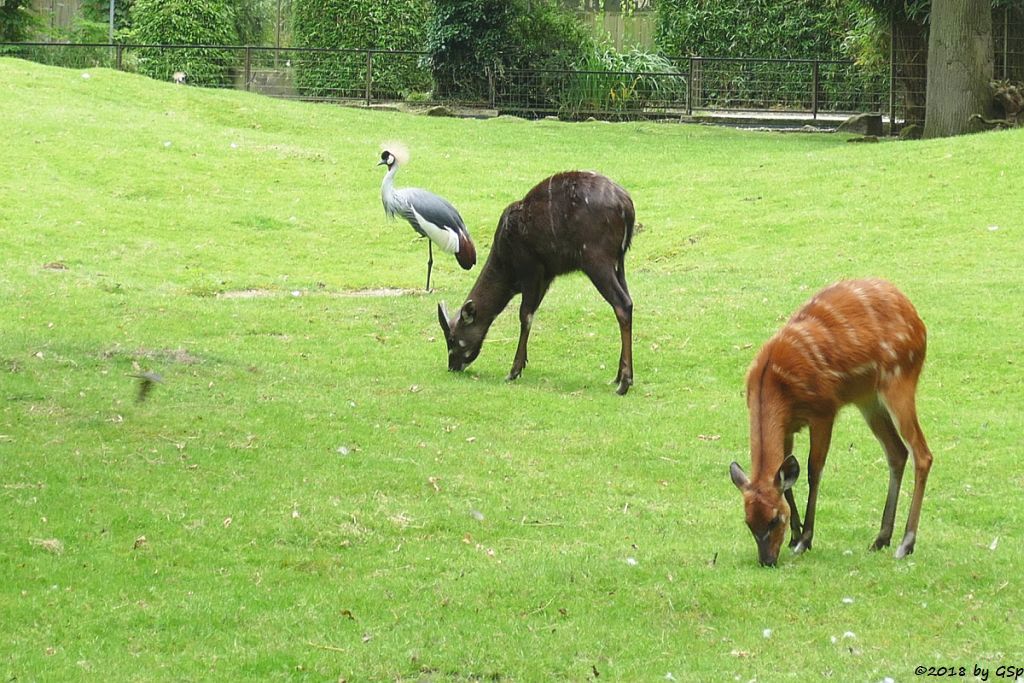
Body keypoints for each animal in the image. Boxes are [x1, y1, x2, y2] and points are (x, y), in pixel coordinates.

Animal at [438, 169, 634, 395]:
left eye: (452, 339)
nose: (452, 366)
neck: (505, 262)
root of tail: (626, 206)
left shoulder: (531, 271)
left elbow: (526, 315)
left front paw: (514, 371)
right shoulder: (547, 277)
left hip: (596, 261)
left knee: (622, 304)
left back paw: (624, 383)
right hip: (619, 261)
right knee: (629, 302)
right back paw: (618, 377)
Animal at [729, 280, 937, 569]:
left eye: (774, 519)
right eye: (749, 523)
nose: (767, 560)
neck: (774, 386)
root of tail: (916, 319)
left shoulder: (823, 411)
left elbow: (812, 470)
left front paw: (804, 540)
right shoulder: (788, 426)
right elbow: (786, 477)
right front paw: (795, 536)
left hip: (899, 380)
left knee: (922, 453)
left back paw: (906, 543)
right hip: (868, 399)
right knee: (897, 451)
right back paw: (880, 539)